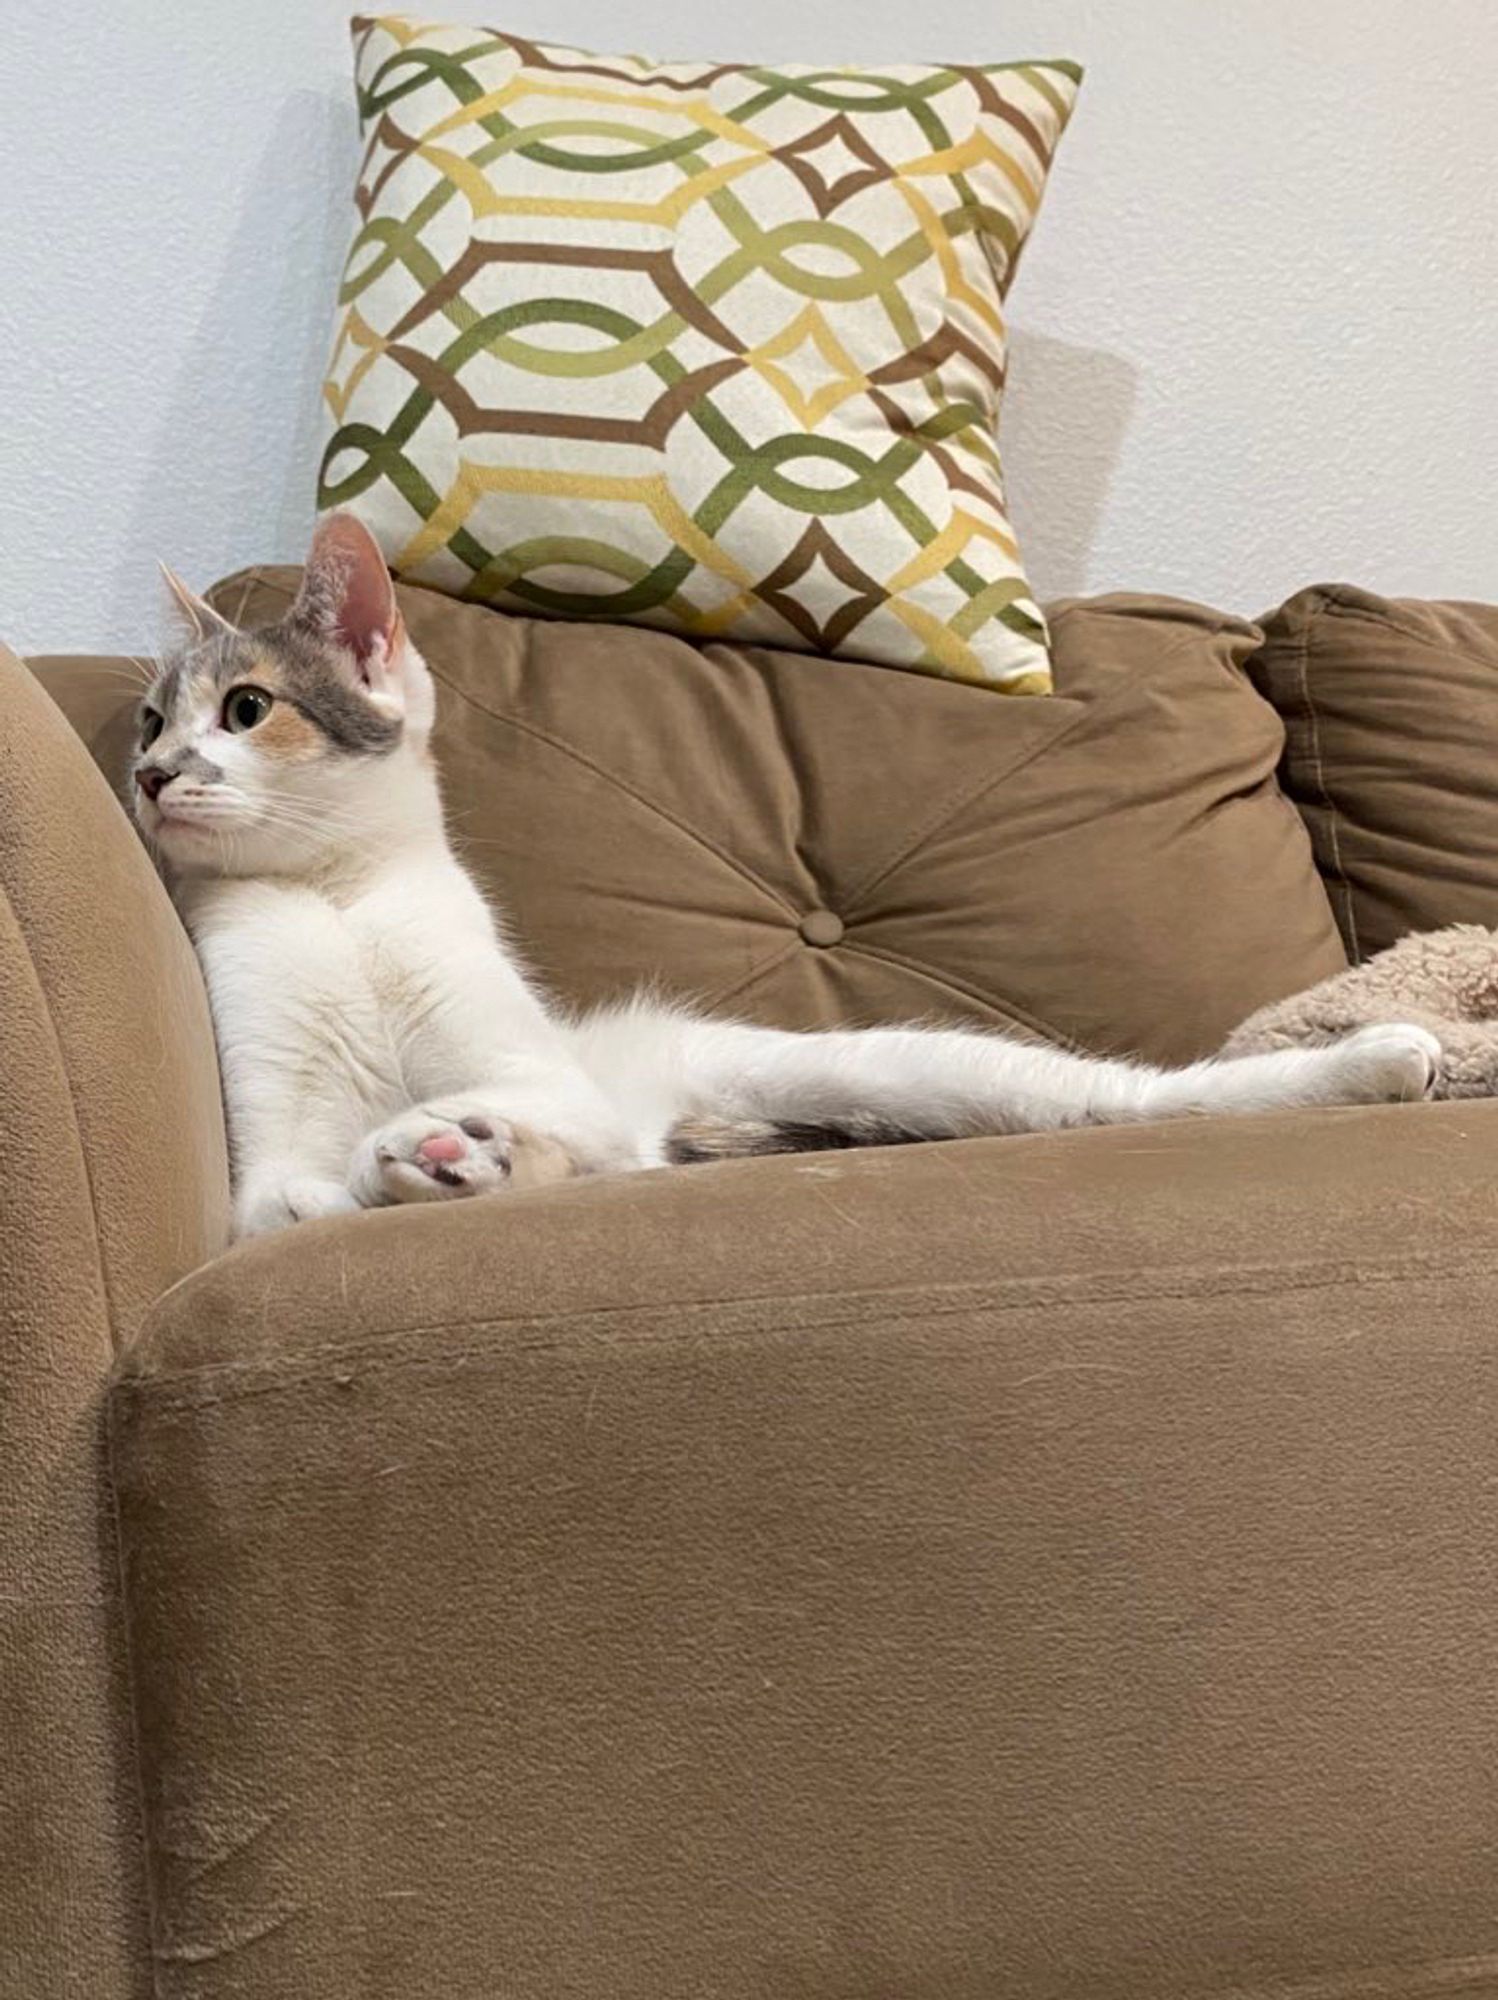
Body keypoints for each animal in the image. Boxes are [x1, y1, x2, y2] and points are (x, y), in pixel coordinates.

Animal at [131, 516, 1440, 1232]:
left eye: (245, 709)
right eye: (149, 718)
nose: (147, 773)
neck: (337, 899)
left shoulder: (554, 1081)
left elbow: (543, 1120)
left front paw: (451, 1144)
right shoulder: (270, 1162)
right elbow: (304, 1187)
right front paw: (434, 1160)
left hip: (937, 1071)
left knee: (1133, 1099)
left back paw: (1378, 1059)